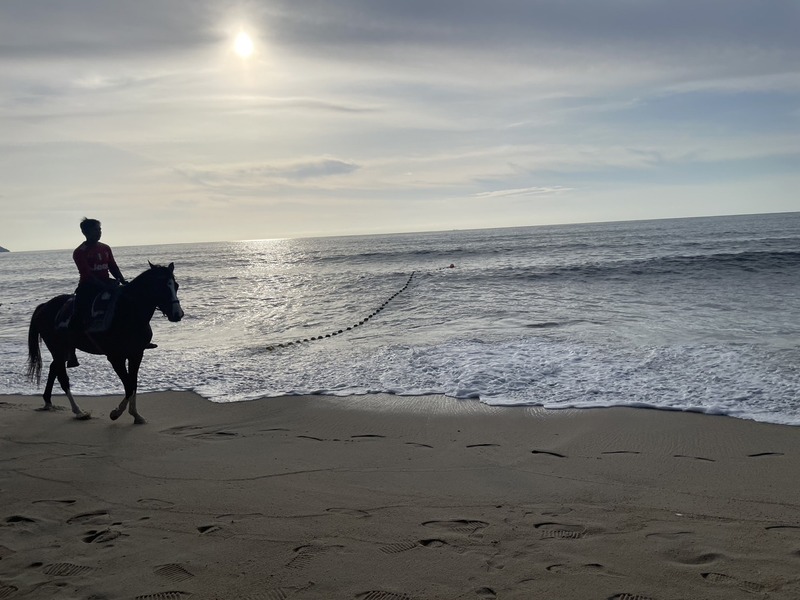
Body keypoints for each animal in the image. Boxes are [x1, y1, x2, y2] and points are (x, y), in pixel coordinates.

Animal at [25, 262, 185, 422]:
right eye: (161, 286)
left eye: (176, 286)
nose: (178, 314)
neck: (128, 313)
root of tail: (44, 306)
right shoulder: (116, 358)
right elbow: (128, 385)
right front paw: (116, 413)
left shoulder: (136, 354)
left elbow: (133, 384)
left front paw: (136, 414)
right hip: (56, 348)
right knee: (62, 377)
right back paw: (79, 411)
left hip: (64, 349)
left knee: (54, 369)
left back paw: (48, 401)